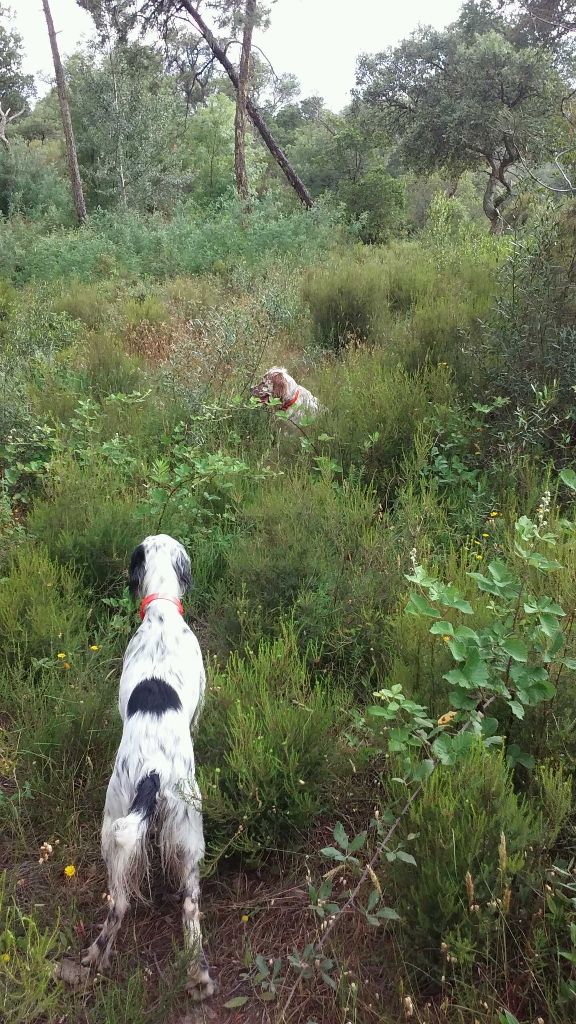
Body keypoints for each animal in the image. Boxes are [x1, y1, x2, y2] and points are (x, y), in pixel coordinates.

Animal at [81, 536, 214, 999]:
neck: (160, 614)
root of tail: (152, 770)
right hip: (177, 829)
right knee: (177, 904)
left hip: (128, 824)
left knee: (126, 902)